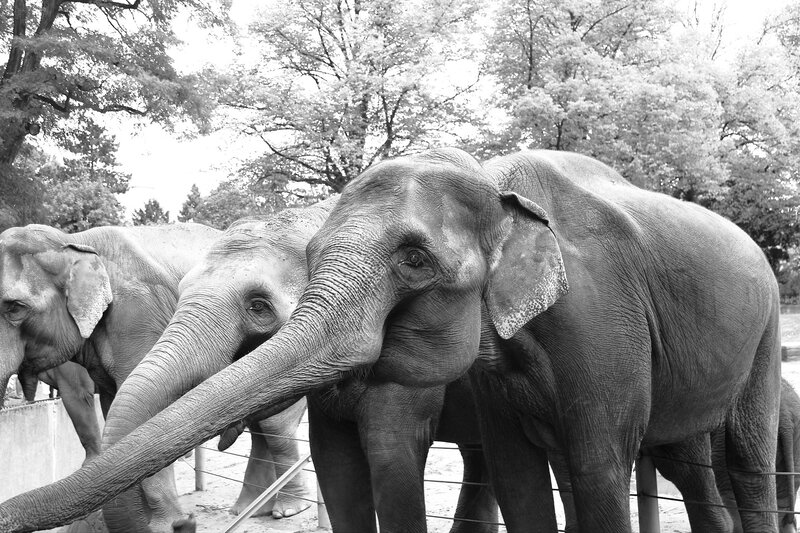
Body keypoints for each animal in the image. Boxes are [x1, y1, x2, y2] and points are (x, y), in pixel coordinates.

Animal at [0, 223, 310, 531]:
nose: (186, 521)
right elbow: (114, 405)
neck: (74, 240)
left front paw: (164, 523)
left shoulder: (139, 316)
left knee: (273, 425)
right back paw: (248, 509)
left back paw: (287, 510)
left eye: (14, 307)